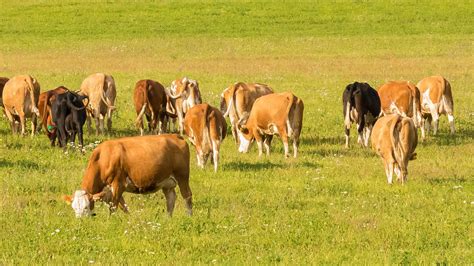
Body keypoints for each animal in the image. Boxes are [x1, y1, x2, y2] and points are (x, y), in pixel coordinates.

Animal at [63, 135, 193, 218]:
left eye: (86, 207)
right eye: (74, 208)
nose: (80, 221)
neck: (103, 158)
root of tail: (176, 136)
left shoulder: (118, 184)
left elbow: (113, 208)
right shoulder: (110, 191)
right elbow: (123, 207)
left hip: (182, 176)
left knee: (187, 196)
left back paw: (189, 217)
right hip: (166, 183)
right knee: (171, 199)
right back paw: (168, 219)